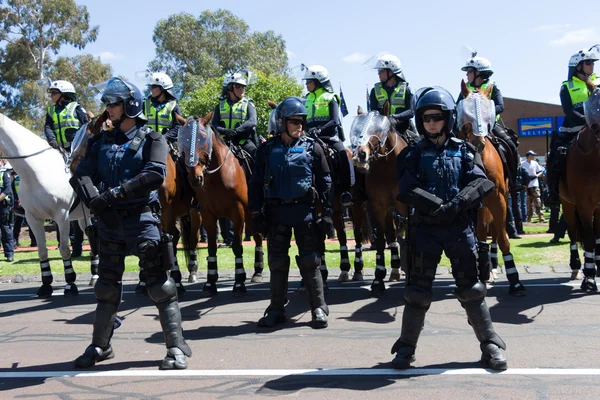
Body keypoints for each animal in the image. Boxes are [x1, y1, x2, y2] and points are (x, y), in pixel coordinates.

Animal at [0, 112, 97, 296]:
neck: (36, 170)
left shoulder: (62, 216)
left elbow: (64, 249)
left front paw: (70, 283)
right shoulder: (33, 219)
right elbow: (42, 251)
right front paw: (46, 284)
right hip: (84, 217)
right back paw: (95, 276)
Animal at [178, 114, 262, 296]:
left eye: (203, 138)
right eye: (184, 139)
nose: (194, 178)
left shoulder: (237, 213)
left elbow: (237, 246)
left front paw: (239, 282)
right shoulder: (207, 213)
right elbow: (211, 247)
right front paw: (210, 282)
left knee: (258, 236)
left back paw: (258, 272)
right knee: (193, 238)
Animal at [352, 104, 408, 298]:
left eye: (377, 130)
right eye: (357, 129)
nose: (360, 154)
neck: (387, 167)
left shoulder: (406, 206)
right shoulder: (377, 206)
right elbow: (381, 241)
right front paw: (378, 280)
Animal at [458, 79, 528, 296]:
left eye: (487, 110)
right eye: (466, 111)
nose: (477, 142)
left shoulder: (498, 199)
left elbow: (503, 238)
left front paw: (515, 281)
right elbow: (477, 237)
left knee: (495, 233)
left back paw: (494, 265)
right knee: (482, 232)